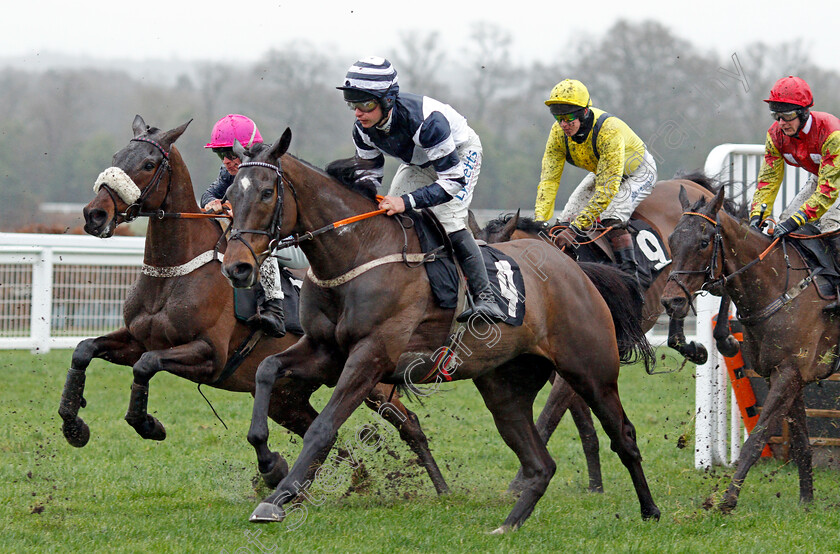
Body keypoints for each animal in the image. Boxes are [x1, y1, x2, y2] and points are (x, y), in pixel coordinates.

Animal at [59, 113, 450, 492]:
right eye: (116, 157)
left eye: (148, 163)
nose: (94, 214)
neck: (172, 273)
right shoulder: (137, 338)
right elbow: (84, 349)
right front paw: (73, 424)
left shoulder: (209, 354)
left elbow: (146, 364)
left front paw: (148, 424)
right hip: (286, 398)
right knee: (322, 432)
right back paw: (333, 479)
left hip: (373, 376)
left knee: (408, 423)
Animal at [221, 127, 664, 528]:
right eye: (230, 197)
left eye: (266, 193)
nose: (236, 267)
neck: (359, 251)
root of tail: (575, 268)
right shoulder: (324, 350)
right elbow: (267, 371)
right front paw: (269, 463)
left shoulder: (371, 357)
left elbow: (322, 427)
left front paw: (277, 499)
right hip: (504, 388)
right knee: (541, 464)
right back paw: (508, 524)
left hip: (591, 370)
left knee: (623, 435)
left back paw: (650, 510)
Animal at [660, 187, 836, 512]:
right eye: (672, 240)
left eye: (704, 242)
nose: (671, 301)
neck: (780, 286)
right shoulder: (788, 374)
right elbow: (801, 442)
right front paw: (806, 501)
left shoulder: (787, 375)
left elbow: (757, 438)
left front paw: (728, 499)